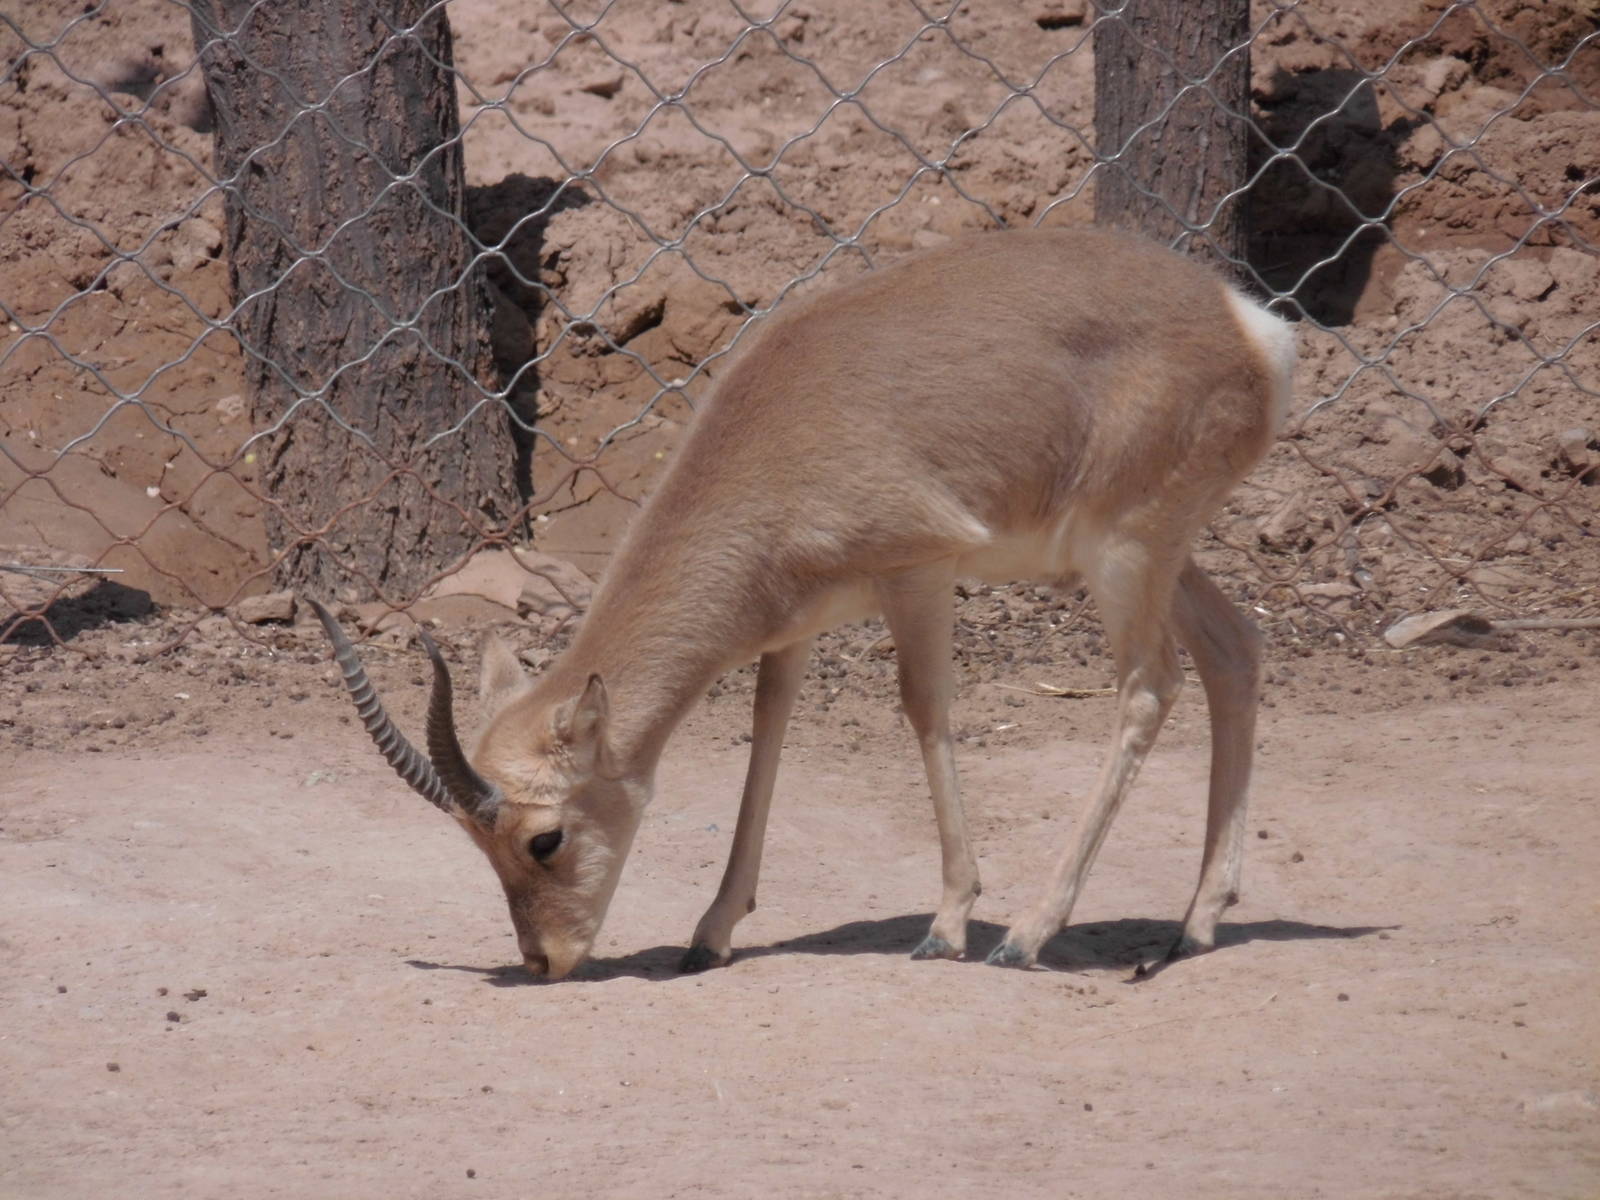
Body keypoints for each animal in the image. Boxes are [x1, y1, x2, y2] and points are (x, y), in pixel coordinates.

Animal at [313, 227, 1295, 981]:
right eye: (476, 844)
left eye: (542, 840)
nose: (544, 959)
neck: (781, 425)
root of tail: (1246, 323)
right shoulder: (792, 626)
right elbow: (768, 727)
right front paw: (711, 932)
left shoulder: (918, 573)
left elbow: (924, 710)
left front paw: (947, 924)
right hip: (1155, 554)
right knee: (1235, 651)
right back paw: (1196, 925)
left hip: (1126, 554)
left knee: (1150, 686)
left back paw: (1028, 935)